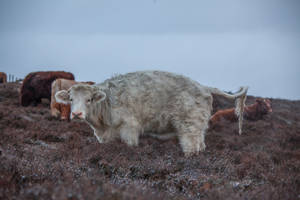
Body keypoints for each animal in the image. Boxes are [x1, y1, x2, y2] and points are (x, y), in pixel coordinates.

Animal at [55, 70, 247, 156]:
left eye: (88, 99)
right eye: (71, 99)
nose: (77, 114)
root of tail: (203, 87)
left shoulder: (130, 128)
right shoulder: (105, 135)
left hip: (189, 126)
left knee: (191, 146)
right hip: (198, 128)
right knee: (200, 145)